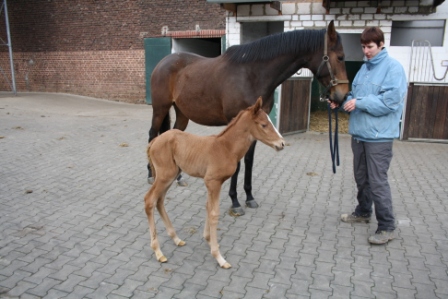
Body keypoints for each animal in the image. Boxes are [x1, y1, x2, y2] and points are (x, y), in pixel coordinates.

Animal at [144, 98, 284, 270]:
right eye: (264, 124)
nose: (282, 143)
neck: (226, 147)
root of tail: (154, 141)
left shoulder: (214, 183)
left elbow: (208, 207)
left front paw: (208, 239)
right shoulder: (212, 182)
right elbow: (214, 213)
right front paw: (219, 256)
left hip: (171, 175)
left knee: (159, 201)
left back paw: (176, 239)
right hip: (165, 175)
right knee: (150, 200)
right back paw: (158, 252)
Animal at [147, 21, 350, 217]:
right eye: (340, 57)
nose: (342, 96)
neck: (252, 74)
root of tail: (163, 62)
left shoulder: (255, 127)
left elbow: (249, 160)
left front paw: (249, 197)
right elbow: (237, 163)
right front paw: (235, 202)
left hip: (182, 114)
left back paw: (178, 176)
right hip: (159, 109)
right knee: (151, 135)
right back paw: (151, 174)